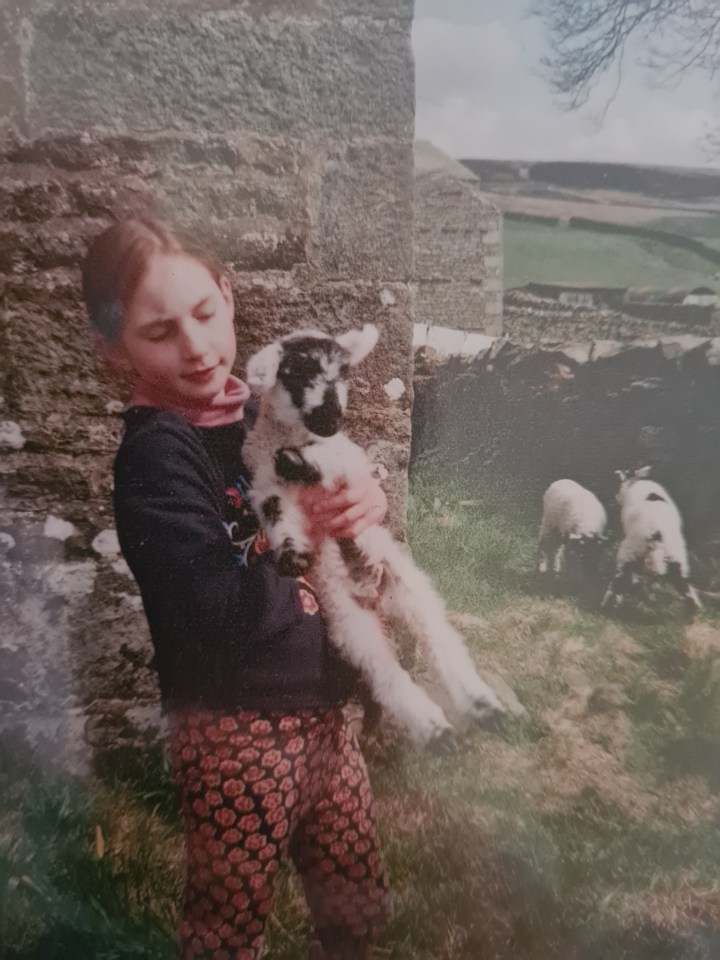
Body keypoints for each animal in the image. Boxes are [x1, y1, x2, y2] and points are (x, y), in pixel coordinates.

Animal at [242, 322, 506, 752]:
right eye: (296, 373)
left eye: (343, 373)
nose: (332, 416)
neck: (291, 437)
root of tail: (374, 593)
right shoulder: (265, 485)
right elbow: (278, 514)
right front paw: (293, 556)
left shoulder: (350, 464)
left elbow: (335, 461)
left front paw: (305, 461)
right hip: (351, 622)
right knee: (386, 674)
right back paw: (437, 730)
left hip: (409, 586)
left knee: (442, 643)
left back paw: (483, 706)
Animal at [600, 466, 700, 616]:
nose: (615, 498)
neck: (635, 481)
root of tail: (657, 536)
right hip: (675, 558)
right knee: (684, 585)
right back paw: (693, 611)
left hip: (630, 552)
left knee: (619, 580)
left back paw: (606, 607)